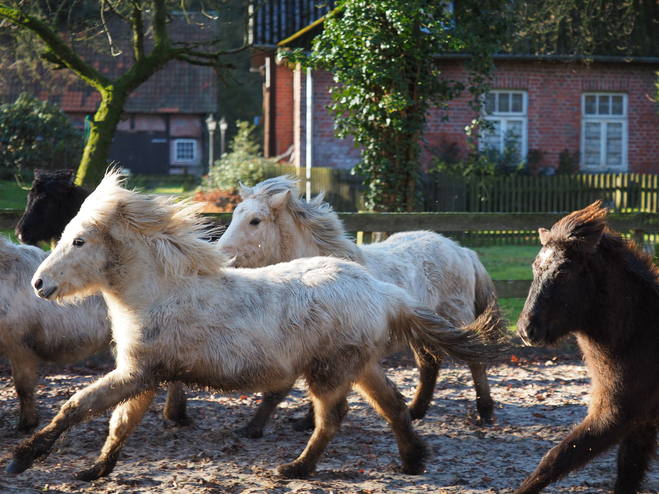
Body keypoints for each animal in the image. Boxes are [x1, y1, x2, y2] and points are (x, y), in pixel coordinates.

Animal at [218, 175, 506, 436]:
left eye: (255, 220)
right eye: (234, 215)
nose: (222, 258)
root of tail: (463, 251)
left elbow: (280, 390)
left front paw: (255, 428)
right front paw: (306, 421)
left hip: (456, 318)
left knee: (475, 362)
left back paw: (485, 413)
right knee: (429, 364)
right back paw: (416, 411)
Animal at [516, 202, 659, 494]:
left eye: (563, 272)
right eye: (535, 268)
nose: (526, 330)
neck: (640, 334)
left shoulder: (615, 417)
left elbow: (554, 459)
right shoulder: (642, 423)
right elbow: (627, 475)